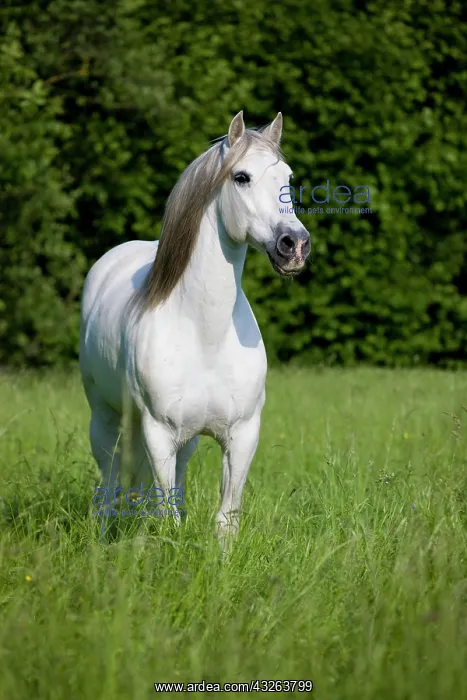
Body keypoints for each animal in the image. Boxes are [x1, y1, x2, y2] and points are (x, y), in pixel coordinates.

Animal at [79, 111, 310, 547]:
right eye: (241, 177)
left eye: (288, 178)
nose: (295, 245)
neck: (206, 334)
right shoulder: (158, 434)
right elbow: (167, 516)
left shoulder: (242, 435)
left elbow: (225, 519)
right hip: (105, 420)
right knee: (109, 485)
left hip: (182, 441)